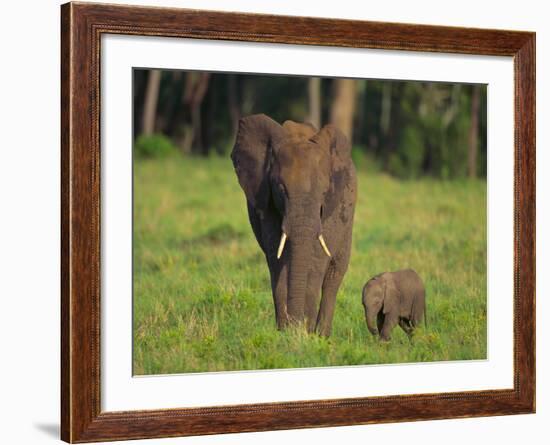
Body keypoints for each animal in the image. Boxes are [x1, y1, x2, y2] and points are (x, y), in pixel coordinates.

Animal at [232, 112, 358, 334]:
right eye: (281, 188)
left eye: (324, 192)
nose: (296, 323)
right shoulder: (266, 201)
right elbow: (277, 260)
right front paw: (287, 332)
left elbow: (316, 263)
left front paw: (305, 333)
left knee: (334, 275)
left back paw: (322, 335)